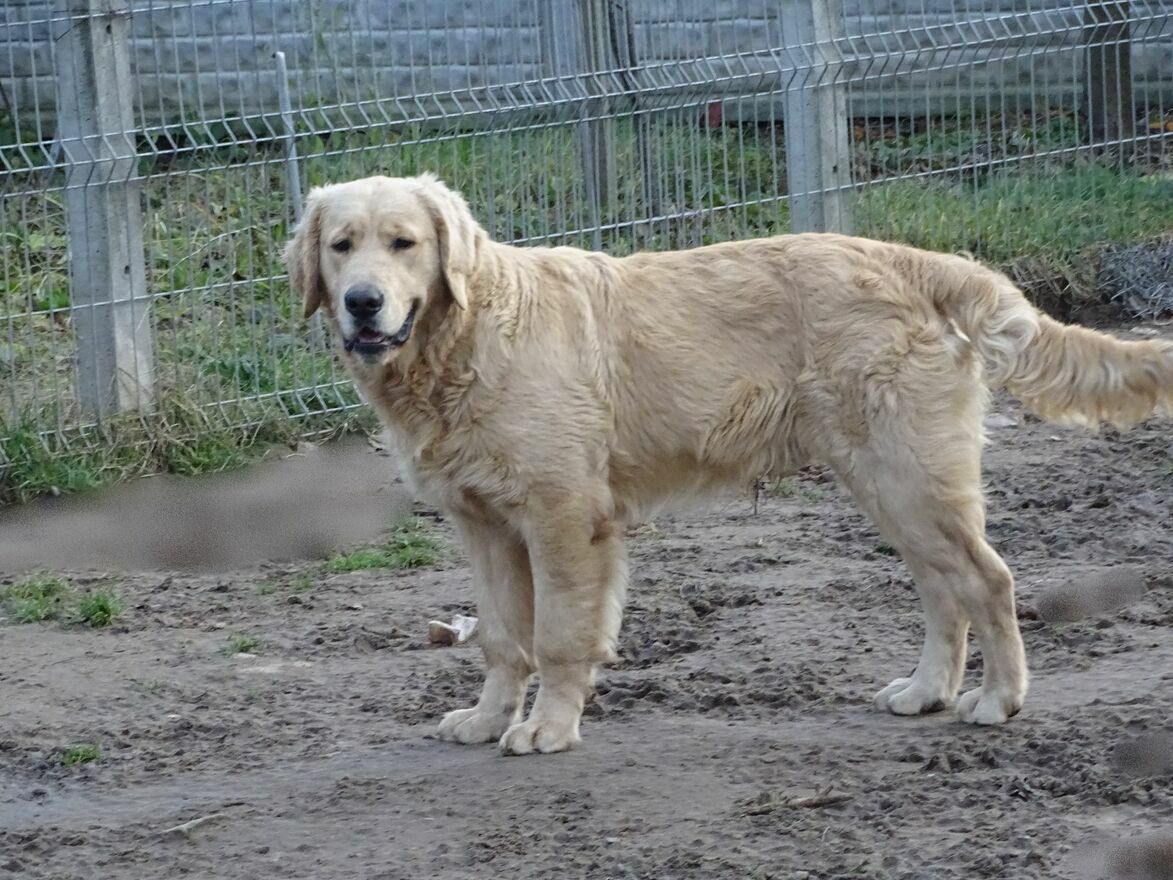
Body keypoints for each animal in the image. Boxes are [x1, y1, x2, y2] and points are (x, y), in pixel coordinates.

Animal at [283, 173, 1173, 755]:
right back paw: (927, 692)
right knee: (943, 593)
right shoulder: (483, 527)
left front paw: (548, 727)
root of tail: (916, 259)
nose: (362, 302)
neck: (464, 342)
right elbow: (503, 638)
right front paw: (487, 718)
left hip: (908, 479)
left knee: (987, 581)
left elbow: (562, 637)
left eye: (404, 245)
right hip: (888, 484)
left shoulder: (564, 519)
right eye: (341, 247)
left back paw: (997, 701)